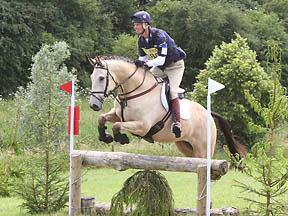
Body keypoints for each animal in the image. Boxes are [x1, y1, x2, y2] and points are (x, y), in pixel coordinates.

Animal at [88, 55, 243, 159]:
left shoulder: (143, 126)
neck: (133, 92)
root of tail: (209, 114)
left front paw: (121, 138)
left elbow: (117, 125)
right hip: (185, 146)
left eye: (101, 78)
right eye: (91, 77)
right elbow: (102, 118)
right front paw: (105, 136)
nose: (93, 105)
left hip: (203, 149)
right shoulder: (117, 115)